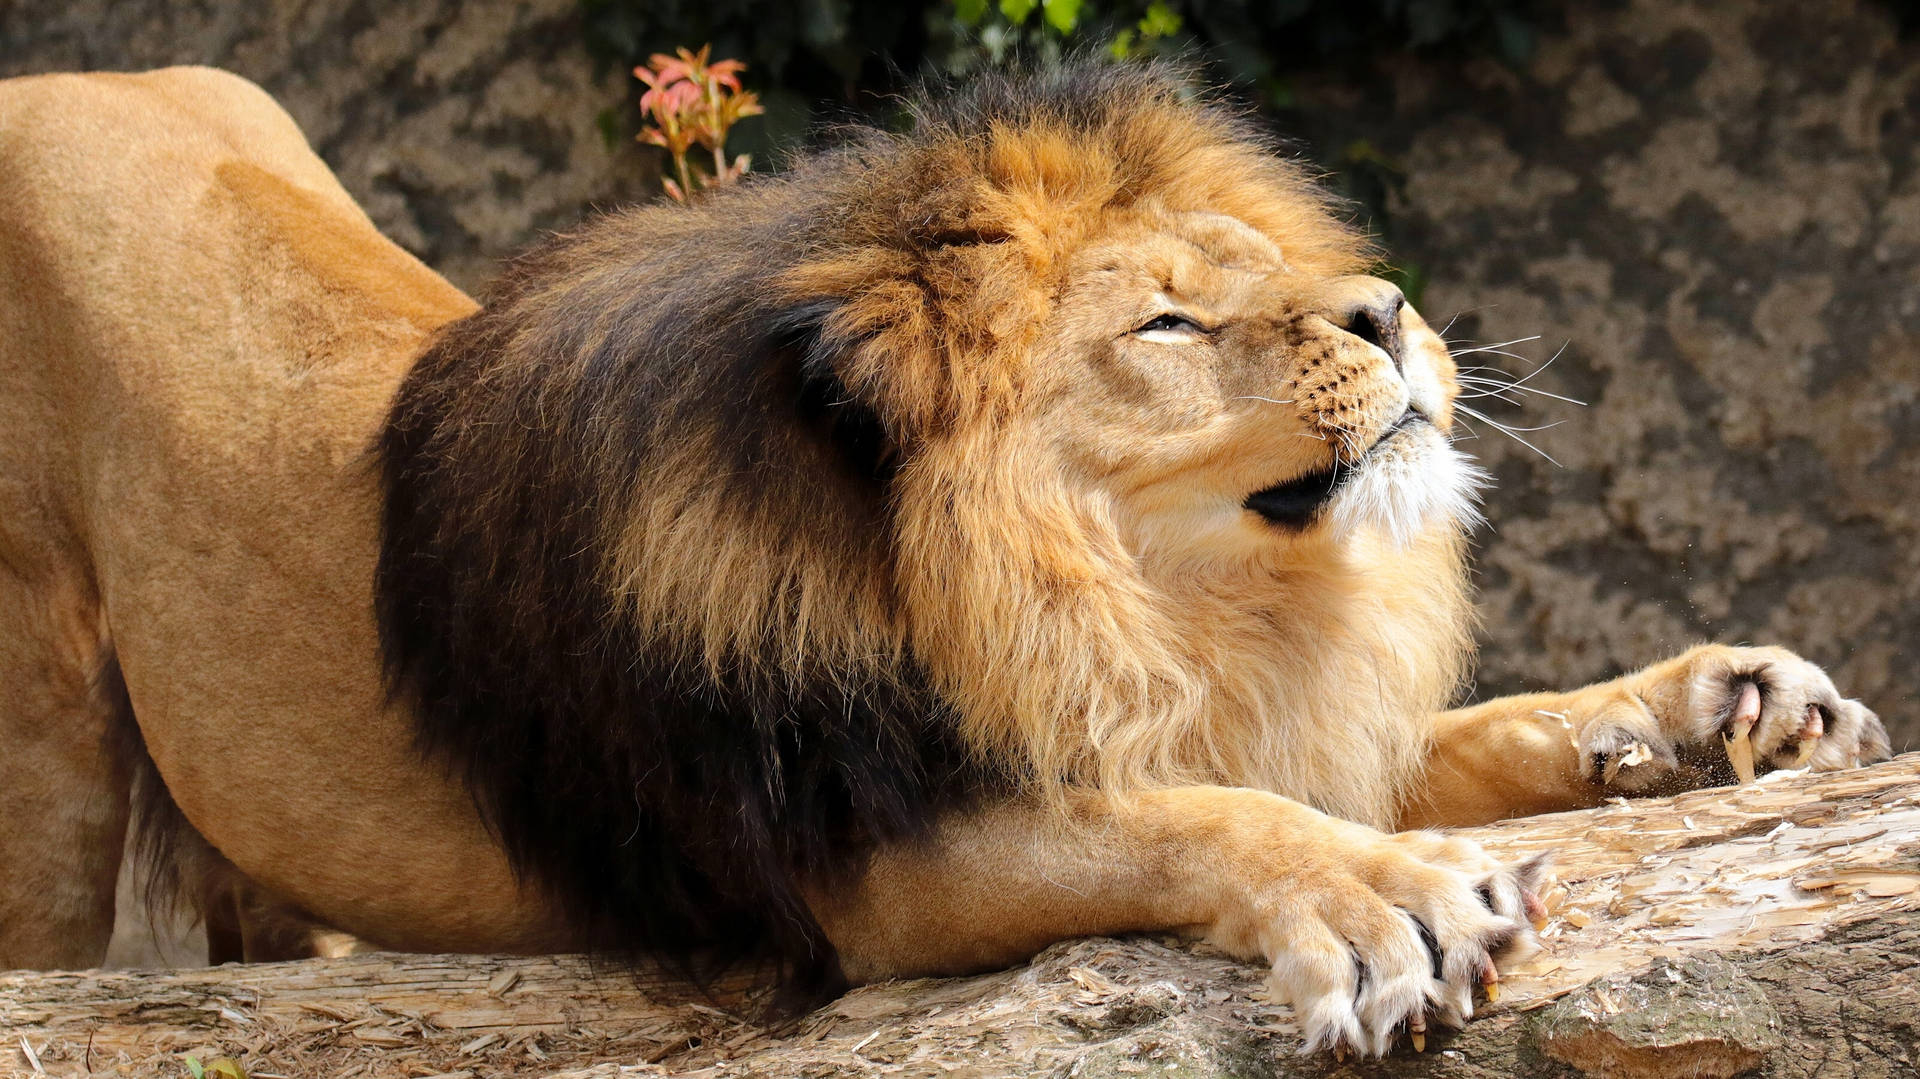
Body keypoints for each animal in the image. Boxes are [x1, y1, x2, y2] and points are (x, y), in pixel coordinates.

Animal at [0, 62, 1890, 1056]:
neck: (1139, 599)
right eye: (1172, 319)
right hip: (46, 739)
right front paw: (1382, 899)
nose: (1393, 310)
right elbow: (1187, 819)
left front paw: (1710, 703)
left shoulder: (1219, 700)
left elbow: (1457, 734)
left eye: (1263, 266)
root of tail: (72, 70)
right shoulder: (868, 865)